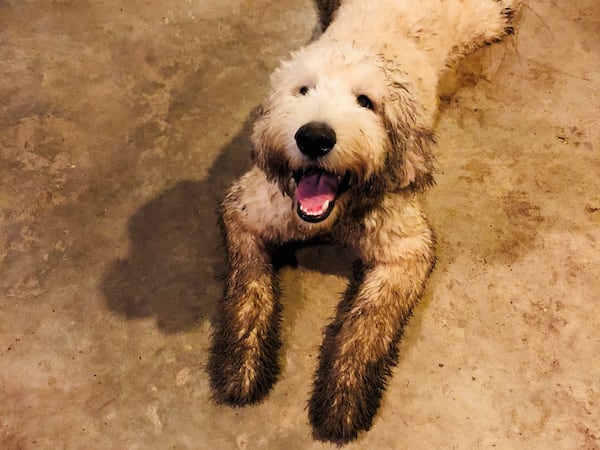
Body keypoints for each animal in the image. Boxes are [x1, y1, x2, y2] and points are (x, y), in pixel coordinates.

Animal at [206, 0, 516, 442]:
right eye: (303, 90)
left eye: (365, 101)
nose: (314, 137)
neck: (334, 216)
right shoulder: (248, 209)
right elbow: (248, 287)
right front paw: (242, 365)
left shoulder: (405, 248)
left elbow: (368, 323)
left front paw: (343, 399)